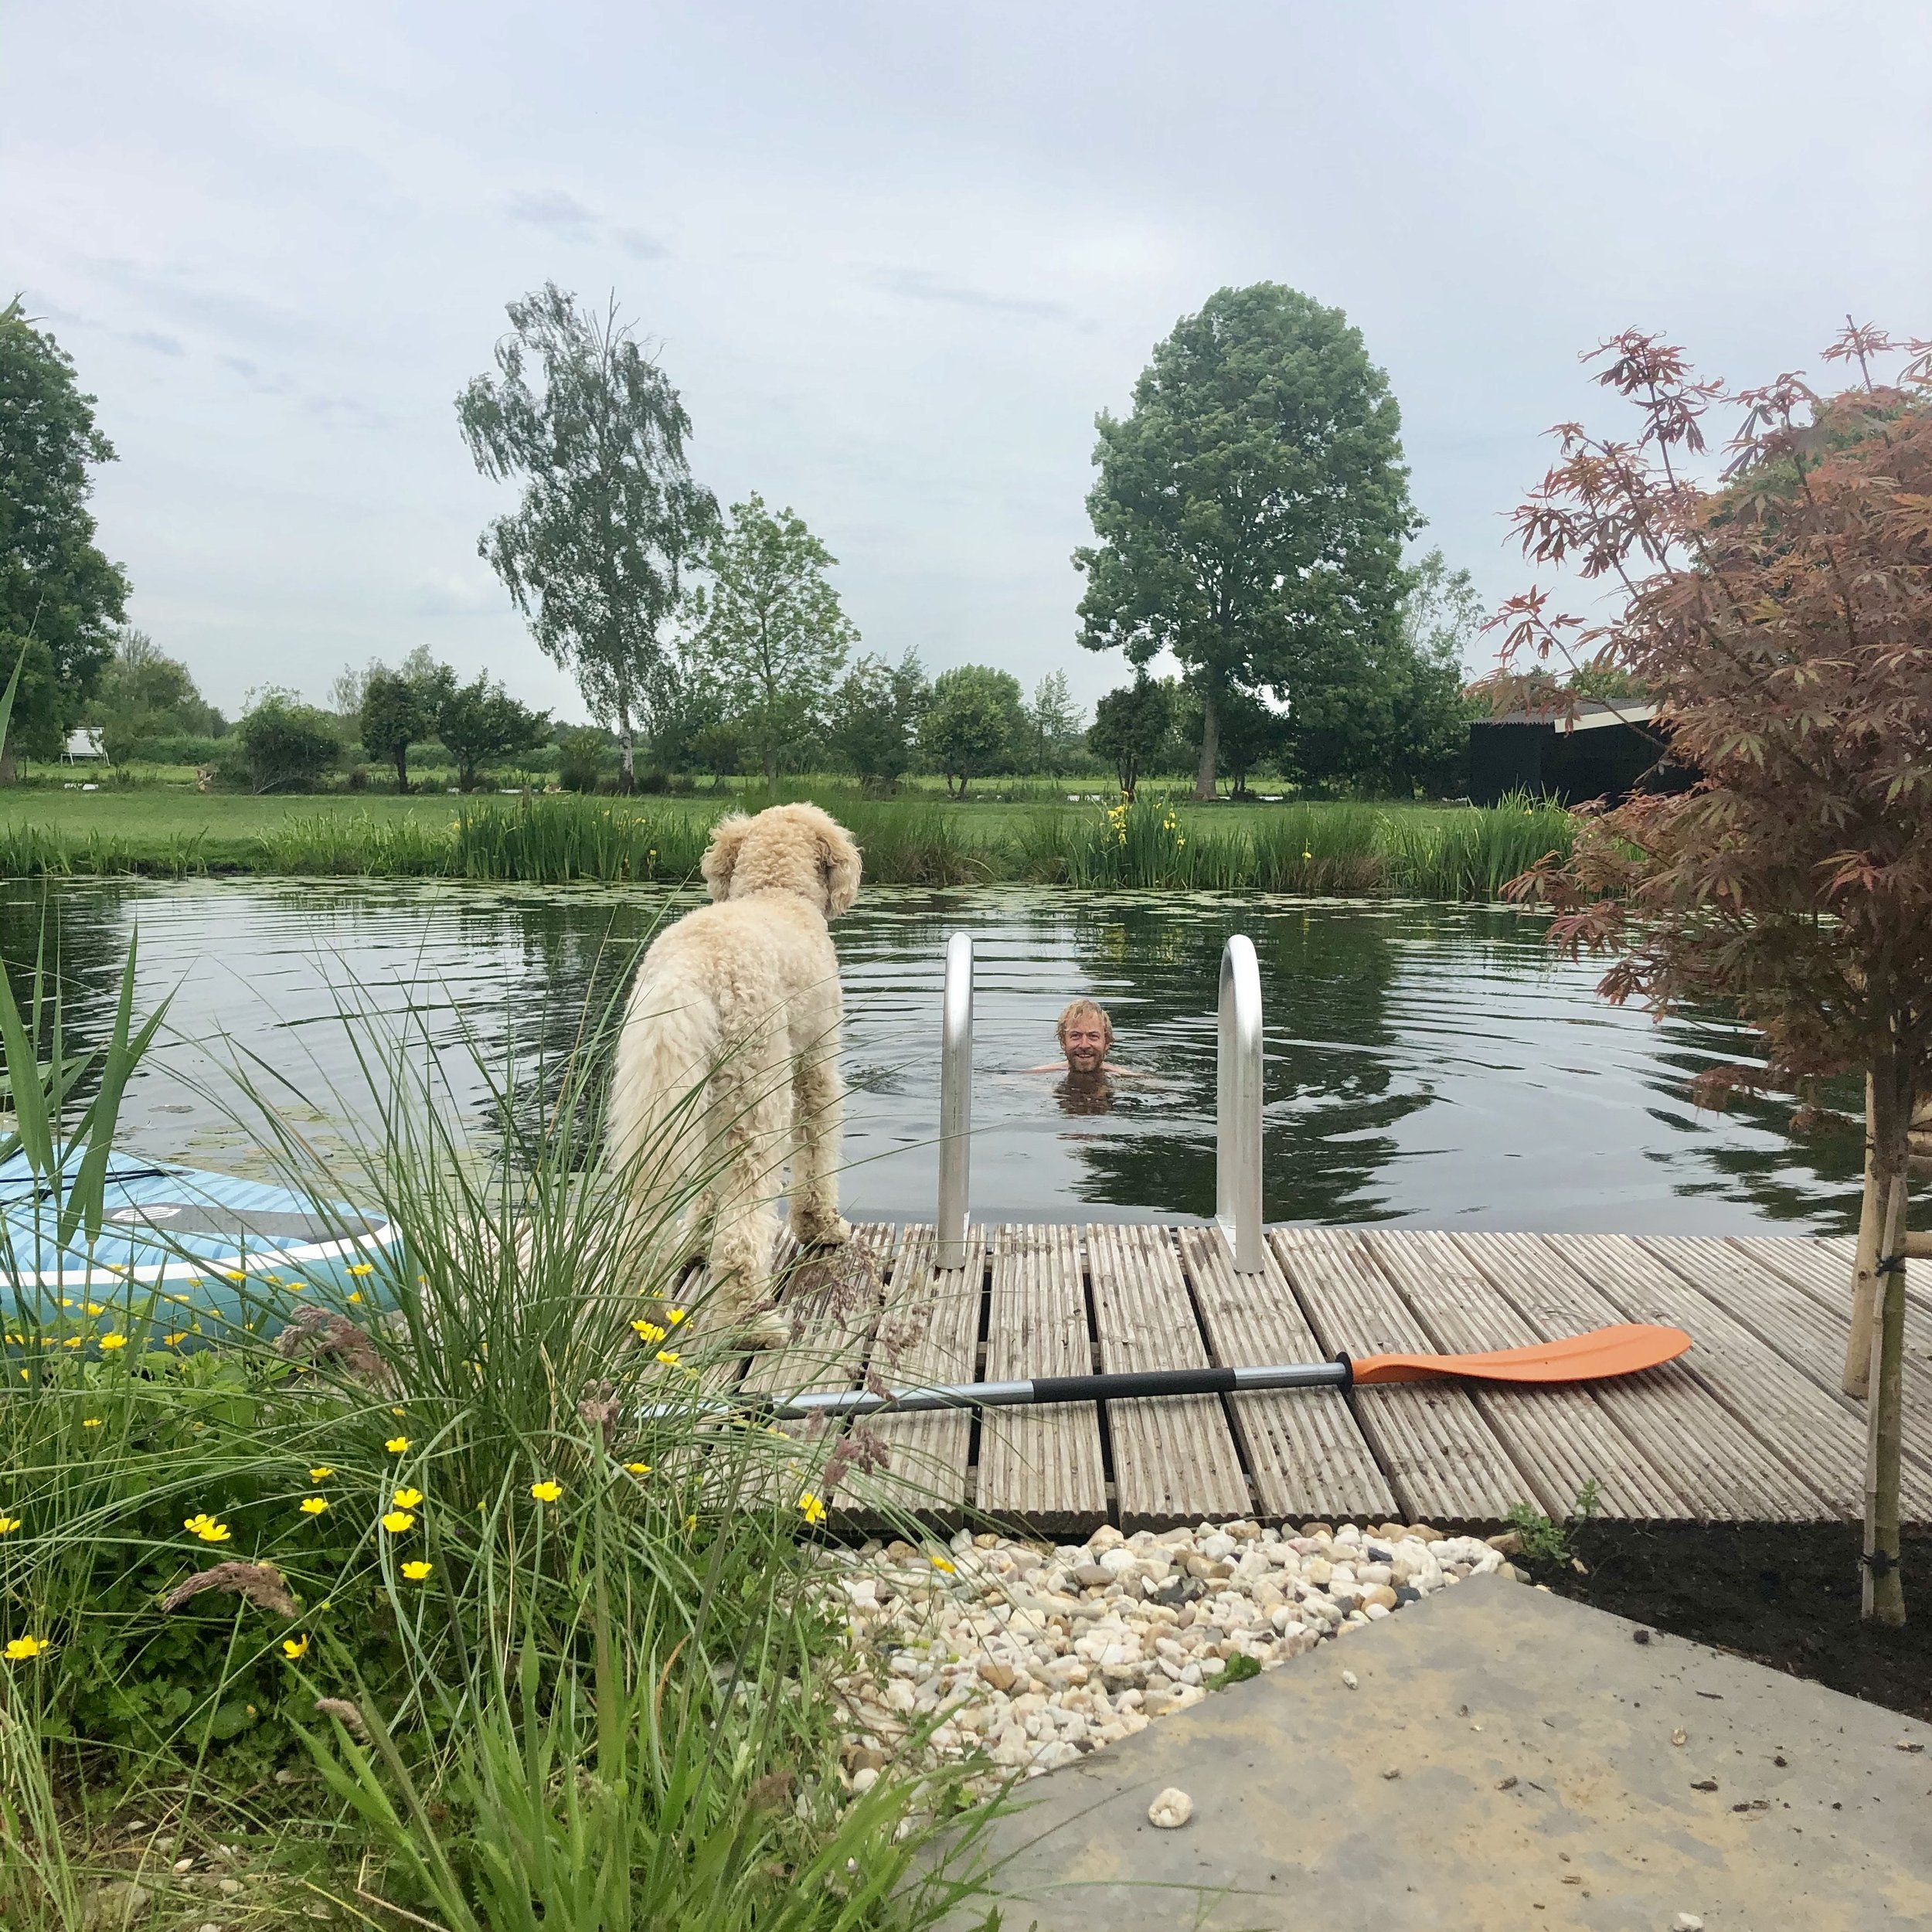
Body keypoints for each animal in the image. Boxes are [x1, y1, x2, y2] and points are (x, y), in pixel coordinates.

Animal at [607, 800, 858, 1345]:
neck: (777, 892)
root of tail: (685, 972)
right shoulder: (815, 1065)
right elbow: (817, 1148)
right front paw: (822, 1226)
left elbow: (706, 1193)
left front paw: (699, 1239)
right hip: (756, 1091)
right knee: (744, 1225)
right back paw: (752, 1323)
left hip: (671, 1093)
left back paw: (643, 1306)